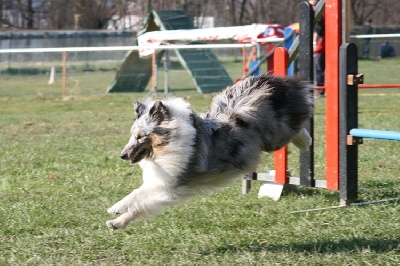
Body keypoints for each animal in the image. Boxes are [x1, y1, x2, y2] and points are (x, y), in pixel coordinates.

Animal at [105, 74, 312, 230]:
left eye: (141, 136)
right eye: (132, 135)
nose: (122, 155)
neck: (166, 144)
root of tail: (265, 81)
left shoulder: (170, 186)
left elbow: (137, 195)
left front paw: (116, 207)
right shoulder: (162, 185)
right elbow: (141, 205)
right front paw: (116, 223)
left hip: (274, 137)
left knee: (297, 126)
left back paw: (306, 141)